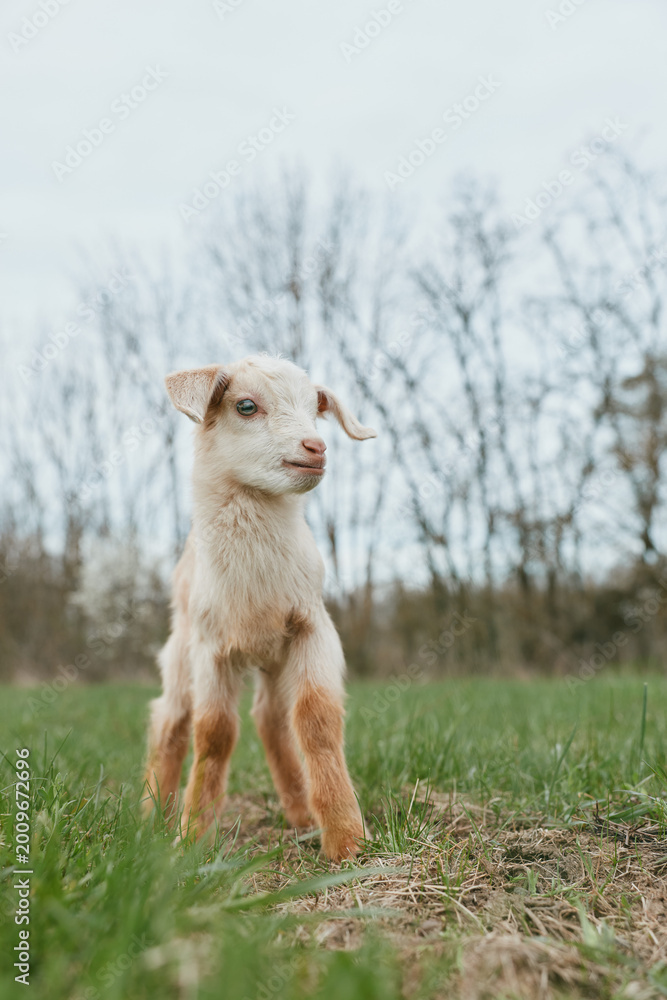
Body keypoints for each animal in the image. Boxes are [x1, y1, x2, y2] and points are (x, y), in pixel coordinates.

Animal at [144, 354, 376, 861]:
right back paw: (150, 817)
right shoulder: (210, 648)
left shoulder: (312, 627)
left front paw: (347, 841)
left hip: (272, 654)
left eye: (314, 408)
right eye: (245, 406)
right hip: (181, 650)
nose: (316, 447)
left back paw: (301, 813)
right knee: (171, 721)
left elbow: (315, 719)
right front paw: (193, 836)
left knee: (271, 719)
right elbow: (213, 733)